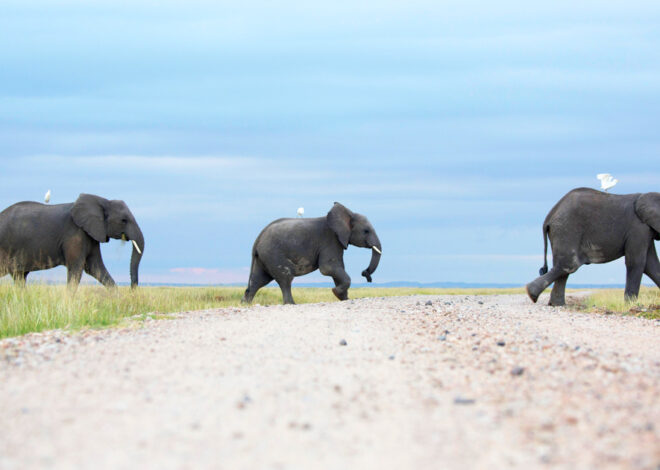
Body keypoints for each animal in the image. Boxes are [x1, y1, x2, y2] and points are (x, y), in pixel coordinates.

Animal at [0, 193, 144, 288]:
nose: (132, 289)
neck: (103, 201)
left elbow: (95, 268)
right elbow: (76, 268)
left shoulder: (90, 234)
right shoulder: (75, 233)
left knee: (19, 277)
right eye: (124, 220)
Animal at [242, 202, 382, 304]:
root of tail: (257, 240)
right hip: (273, 254)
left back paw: (245, 304)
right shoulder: (330, 240)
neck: (347, 213)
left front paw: (344, 299)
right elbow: (328, 268)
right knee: (285, 277)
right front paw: (336, 292)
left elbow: (337, 269)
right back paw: (291, 304)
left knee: (258, 280)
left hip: (263, 257)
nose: (365, 274)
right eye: (366, 231)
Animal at [524, 189, 660, 306]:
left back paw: (556, 304)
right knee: (569, 264)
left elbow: (651, 265)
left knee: (563, 267)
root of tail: (549, 216)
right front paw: (630, 304)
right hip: (567, 230)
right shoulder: (638, 228)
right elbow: (637, 263)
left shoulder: (647, 230)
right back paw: (531, 294)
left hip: (561, 231)